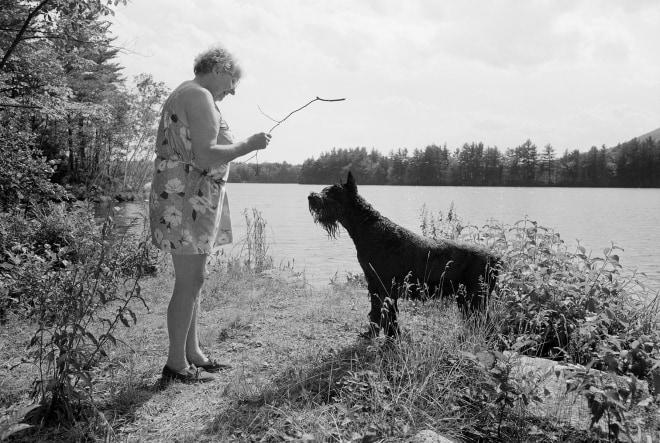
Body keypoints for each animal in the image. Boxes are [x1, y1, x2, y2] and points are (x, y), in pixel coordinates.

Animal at [310, 172, 500, 338]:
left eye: (333, 192)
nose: (311, 196)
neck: (369, 227)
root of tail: (497, 258)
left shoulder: (387, 287)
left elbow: (389, 317)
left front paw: (392, 338)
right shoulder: (374, 285)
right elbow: (375, 313)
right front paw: (371, 334)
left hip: (475, 299)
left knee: (487, 324)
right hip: (466, 299)